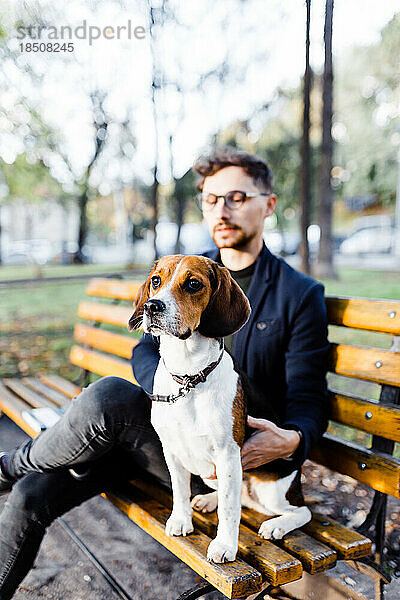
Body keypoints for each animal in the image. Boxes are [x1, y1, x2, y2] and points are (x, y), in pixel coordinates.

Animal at [130, 255, 310, 564]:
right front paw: (181, 519)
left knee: (302, 511)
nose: (152, 306)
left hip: (273, 490)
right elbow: (179, 490)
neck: (189, 377)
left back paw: (276, 525)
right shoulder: (172, 450)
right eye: (155, 280)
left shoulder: (227, 455)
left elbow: (229, 510)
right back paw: (209, 499)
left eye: (193, 284)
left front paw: (225, 545)